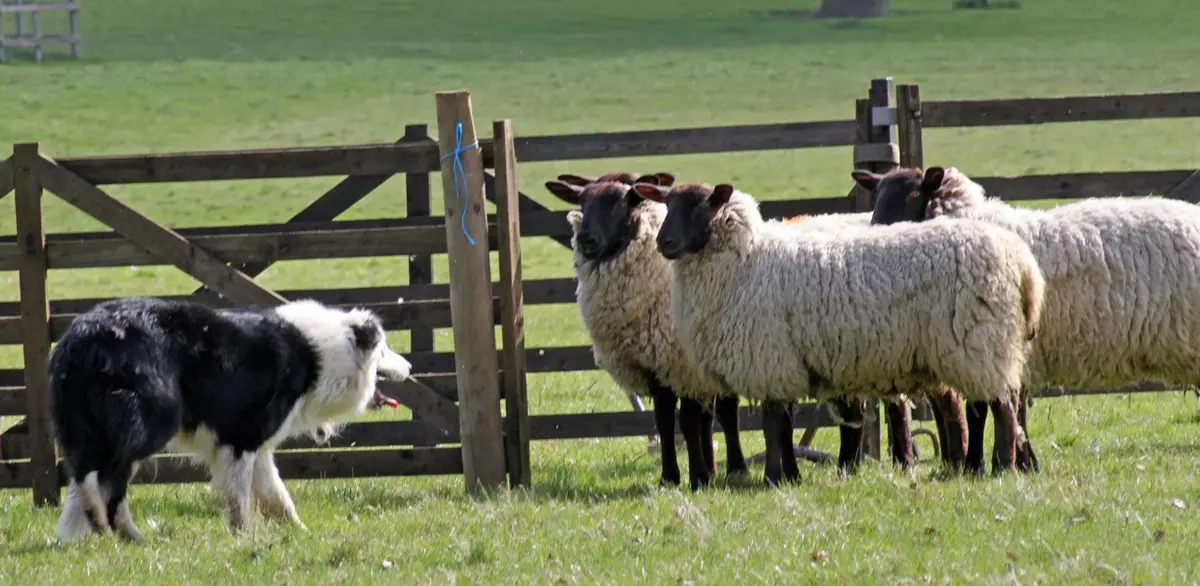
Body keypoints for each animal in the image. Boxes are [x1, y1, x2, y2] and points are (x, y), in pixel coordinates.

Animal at [50, 297, 417, 540]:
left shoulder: (261, 447)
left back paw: (104, 526)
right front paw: (243, 535)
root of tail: (82, 337)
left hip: (86, 426)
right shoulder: (243, 436)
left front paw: (299, 531)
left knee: (88, 476)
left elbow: (277, 496)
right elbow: (240, 494)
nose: (410, 366)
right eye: (385, 350)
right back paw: (125, 532)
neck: (323, 355)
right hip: (151, 420)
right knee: (105, 479)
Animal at [633, 182, 1046, 475]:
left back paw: (1002, 467)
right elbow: (783, 425)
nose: (664, 242)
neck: (746, 261)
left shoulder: (770, 359)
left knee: (1000, 407)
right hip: (977, 348)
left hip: (977, 343)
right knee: (988, 406)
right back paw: (982, 465)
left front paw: (773, 477)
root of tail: (1023, 264)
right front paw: (790, 475)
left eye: (699, 206)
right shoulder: (785, 363)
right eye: (667, 204)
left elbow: (771, 425)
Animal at [859, 165, 1200, 475]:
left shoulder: (987, 345)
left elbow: (980, 408)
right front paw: (1022, 463)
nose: (875, 238)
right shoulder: (1006, 353)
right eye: (877, 196)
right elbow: (1010, 409)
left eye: (912, 195)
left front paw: (984, 465)